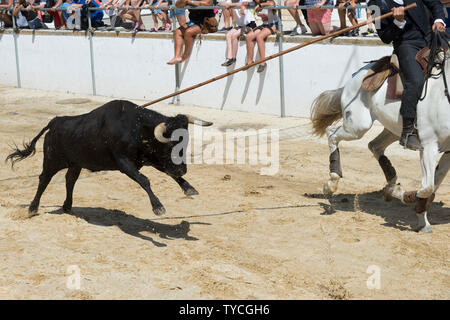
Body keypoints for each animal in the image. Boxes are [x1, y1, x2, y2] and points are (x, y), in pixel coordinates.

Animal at [5, 100, 213, 215]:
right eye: (170, 145)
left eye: (186, 141)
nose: (182, 169)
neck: (136, 127)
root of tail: (56, 121)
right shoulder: (124, 162)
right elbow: (144, 180)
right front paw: (158, 207)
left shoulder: (149, 158)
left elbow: (168, 174)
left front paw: (189, 188)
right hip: (51, 160)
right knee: (44, 180)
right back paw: (32, 208)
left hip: (76, 163)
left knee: (70, 180)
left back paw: (68, 206)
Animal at [312, 51, 448, 234]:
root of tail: (357, 74)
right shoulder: (428, 146)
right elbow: (427, 187)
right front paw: (401, 194)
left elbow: (431, 188)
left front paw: (422, 221)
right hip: (357, 126)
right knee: (331, 133)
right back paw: (331, 183)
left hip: (393, 129)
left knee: (375, 145)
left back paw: (390, 183)